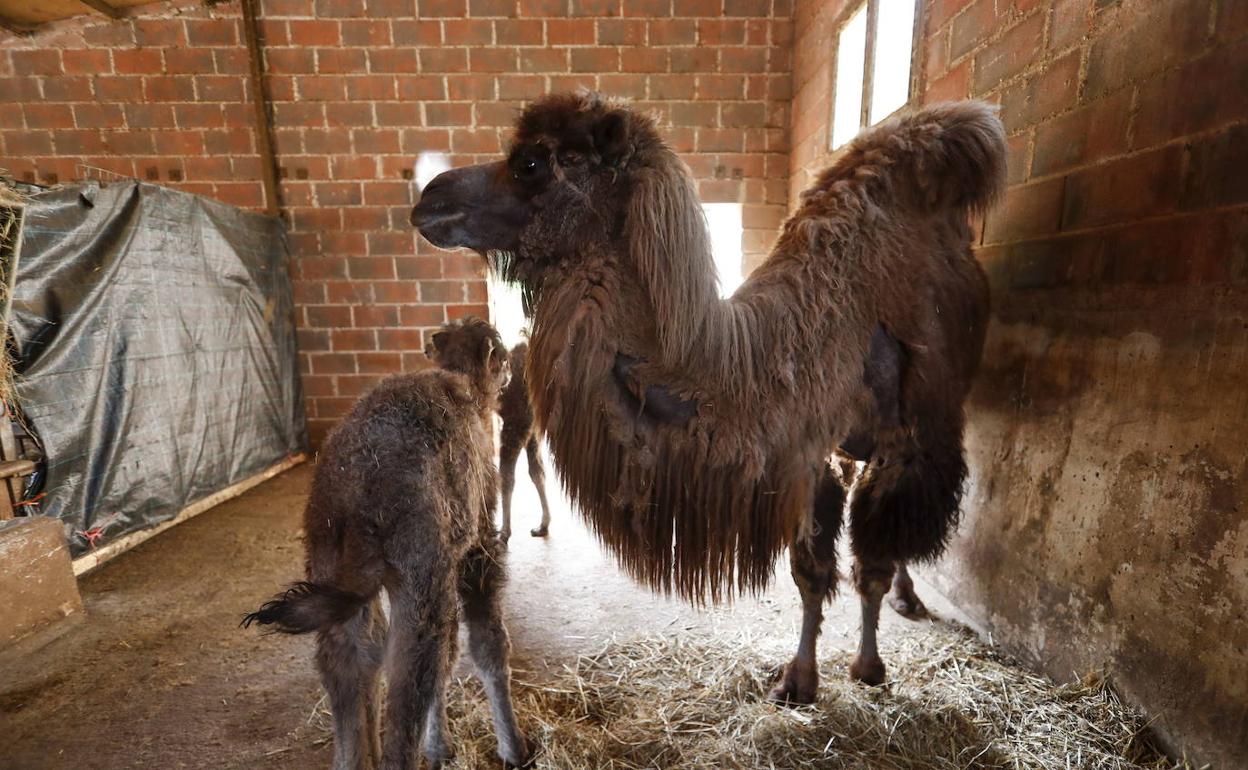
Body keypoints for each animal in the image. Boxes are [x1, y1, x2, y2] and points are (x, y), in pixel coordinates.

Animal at [244, 316, 531, 768]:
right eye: (499, 353)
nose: (506, 373)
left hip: (337, 574)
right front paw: (512, 749)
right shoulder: (476, 544)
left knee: (353, 660)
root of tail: (353, 496)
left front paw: (442, 747)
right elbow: (487, 644)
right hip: (417, 576)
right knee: (407, 688)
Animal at [411, 92, 1003, 698]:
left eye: (531, 163)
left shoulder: (889, 442)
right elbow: (811, 575)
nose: (429, 198)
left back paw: (907, 597)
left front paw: (867, 668)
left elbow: (870, 569)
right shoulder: (810, 458)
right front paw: (800, 681)